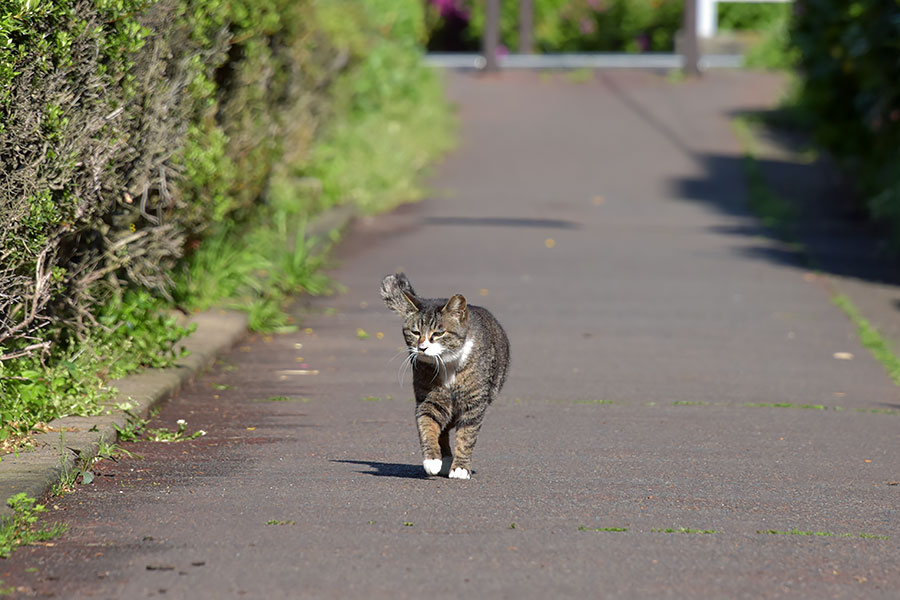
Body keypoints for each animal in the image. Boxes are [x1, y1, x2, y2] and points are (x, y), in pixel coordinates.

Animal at [378, 274, 506, 480]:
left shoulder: (474, 403)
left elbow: (467, 435)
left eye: (438, 333)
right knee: (443, 428)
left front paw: (460, 468)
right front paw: (432, 460)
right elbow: (428, 425)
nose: (422, 348)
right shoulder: (429, 398)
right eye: (415, 332)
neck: (448, 363)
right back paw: (444, 460)